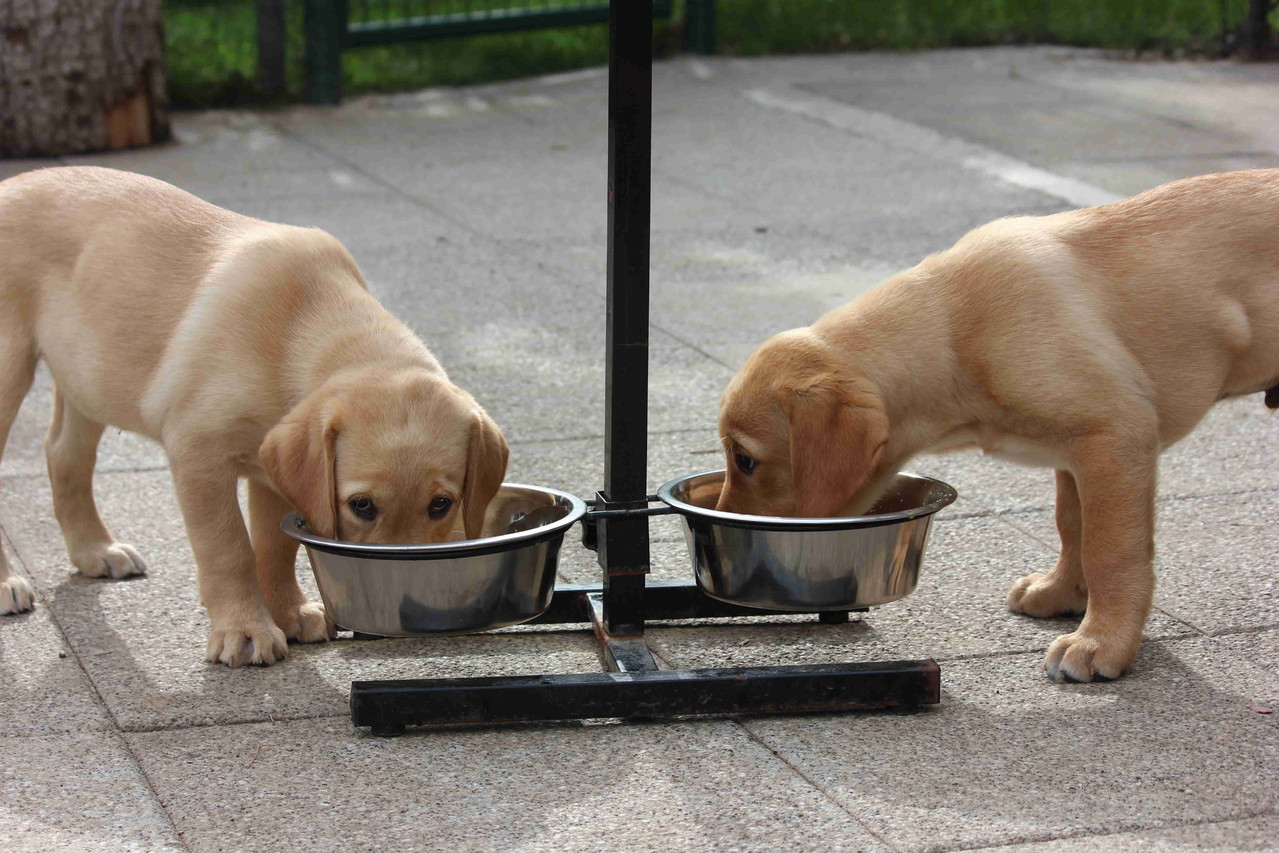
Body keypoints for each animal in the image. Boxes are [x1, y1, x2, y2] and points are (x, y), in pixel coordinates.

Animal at [0, 166, 509, 670]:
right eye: (361, 505)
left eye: (441, 504)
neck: (303, 326)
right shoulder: (198, 453)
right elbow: (229, 549)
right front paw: (244, 631)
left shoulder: (273, 467)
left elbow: (275, 546)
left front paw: (289, 612)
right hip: (12, 371)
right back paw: (8, 582)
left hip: (87, 376)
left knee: (63, 454)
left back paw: (95, 550)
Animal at [716, 170, 1279, 685]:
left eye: (745, 460)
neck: (956, 333)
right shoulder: (1077, 451)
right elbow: (1072, 524)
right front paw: (1061, 593)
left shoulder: (1116, 433)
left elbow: (1109, 549)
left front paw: (1101, 642)